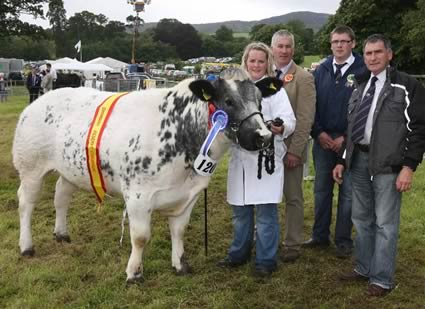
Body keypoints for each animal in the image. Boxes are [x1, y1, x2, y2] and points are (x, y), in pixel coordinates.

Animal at [13, 68, 284, 282]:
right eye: (228, 101)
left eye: (260, 101)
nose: (263, 136)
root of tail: (39, 100)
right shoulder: (138, 195)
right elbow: (141, 237)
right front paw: (134, 273)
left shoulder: (190, 194)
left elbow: (179, 230)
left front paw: (180, 265)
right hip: (30, 166)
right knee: (26, 204)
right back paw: (26, 246)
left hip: (69, 169)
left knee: (61, 196)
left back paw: (61, 234)